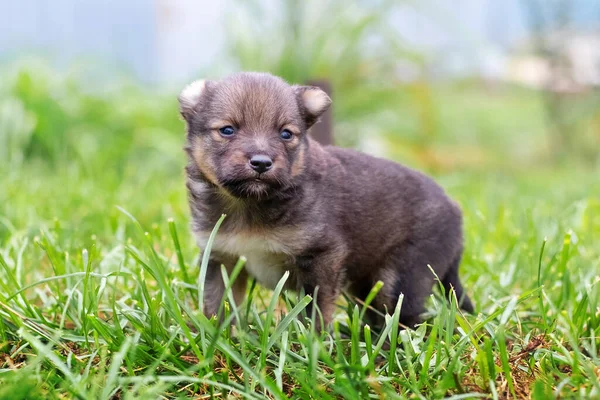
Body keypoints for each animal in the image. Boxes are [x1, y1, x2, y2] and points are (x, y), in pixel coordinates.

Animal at [178, 72, 474, 328]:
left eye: (286, 134)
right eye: (227, 130)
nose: (261, 163)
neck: (248, 205)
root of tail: (455, 209)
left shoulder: (322, 255)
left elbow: (316, 309)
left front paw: (315, 342)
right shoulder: (221, 256)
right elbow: (217, 303)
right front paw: (216, 336)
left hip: (404, 275)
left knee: (404, 321)